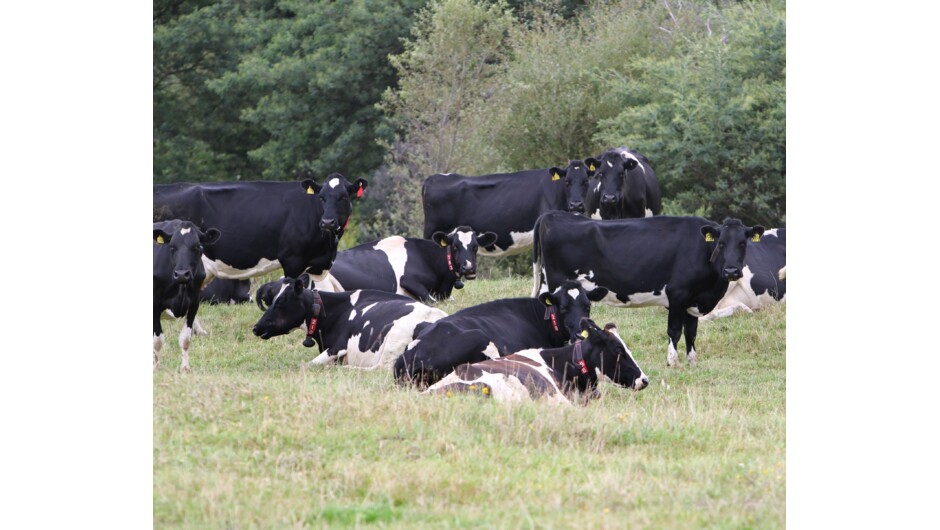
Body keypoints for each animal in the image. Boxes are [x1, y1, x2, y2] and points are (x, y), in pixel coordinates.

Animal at [153, 220, 221, 372]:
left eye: (196, 246)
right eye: (172, 247)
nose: (182, 274)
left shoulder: (194, 303)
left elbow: (185, 339)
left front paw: (185, 368)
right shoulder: (154, 304)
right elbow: (158, 340)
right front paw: (155, 367)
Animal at [251, 278, 447, 369]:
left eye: (281, 302)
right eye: (270, 300)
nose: (256, 327)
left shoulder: (337, 347)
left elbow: (307, 365)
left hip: (393, 341)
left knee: (380, 368)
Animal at [532, 211, 764, 367]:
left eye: (743, 243)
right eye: (721, 243)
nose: (732, 270)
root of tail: (552, 215)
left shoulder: (693, 300)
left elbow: (691, 333)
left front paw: (692, 362)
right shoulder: (677, 295)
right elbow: (674, 331)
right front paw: (672, 362)